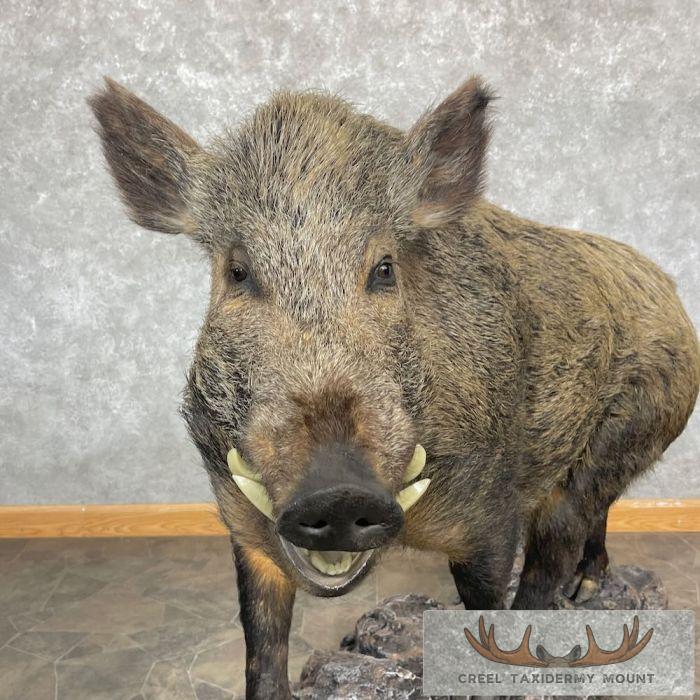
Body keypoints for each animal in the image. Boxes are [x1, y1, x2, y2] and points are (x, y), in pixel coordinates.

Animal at [89, 76, 699, 699]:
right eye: (237, 272)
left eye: (385, 268)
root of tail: (669, 288)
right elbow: (262, 640)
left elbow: (493, 610)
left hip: (637, 426)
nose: (338, 493)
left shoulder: (490, 516)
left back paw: (580, 594)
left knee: (564, 531)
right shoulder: (240, 518)